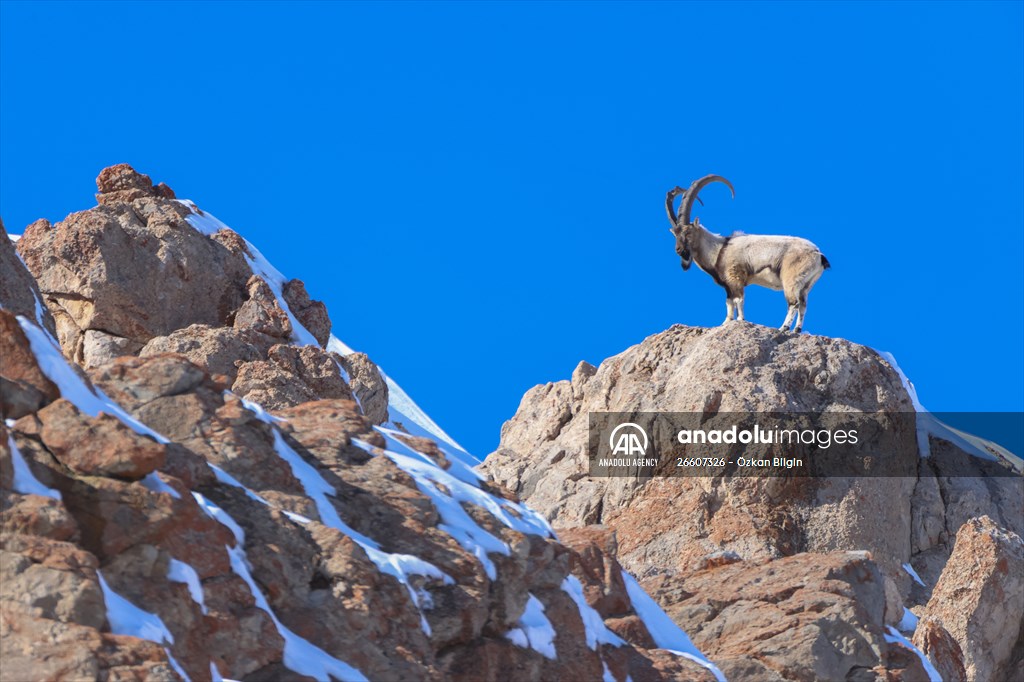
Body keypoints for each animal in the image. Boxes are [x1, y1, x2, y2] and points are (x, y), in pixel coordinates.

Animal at [666, 174, 830, 333]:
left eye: (688, 232)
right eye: (675, 234)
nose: (678, 250)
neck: (719, 250)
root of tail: (818, 254)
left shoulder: (736, 278)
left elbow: (739, 300)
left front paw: (740, 320)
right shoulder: (728, 286)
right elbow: (729, 303)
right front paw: (726, 323)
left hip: (791, 280)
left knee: (793, 303)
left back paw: (783, 328)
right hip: (806, 285)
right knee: (803, 305)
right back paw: (797, 329)